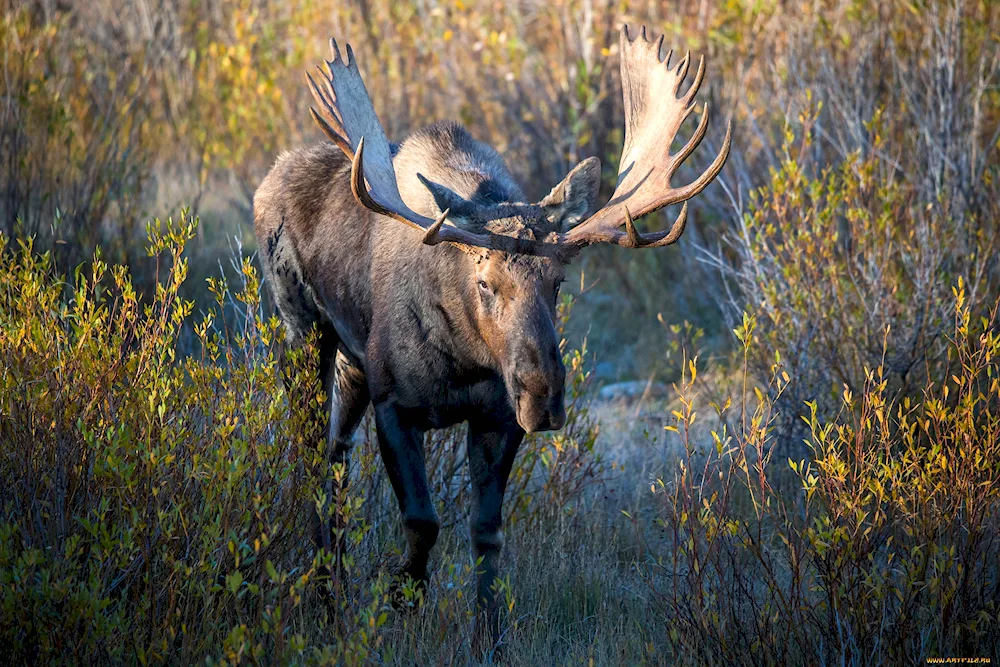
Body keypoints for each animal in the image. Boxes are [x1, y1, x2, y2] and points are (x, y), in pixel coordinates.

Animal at [254, 23, 732, 640]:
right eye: (485, 282)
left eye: (558, 281)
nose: (543, 394)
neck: (464, 358)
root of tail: (269, 179)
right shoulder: (395, 404)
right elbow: (423, 519)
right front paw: (401, 594)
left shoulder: (497, 418)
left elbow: (487, 532)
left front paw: (489, 632)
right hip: (304, 333)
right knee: (313, 455)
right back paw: (321, 595)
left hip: (352, 366)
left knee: (336, 456)